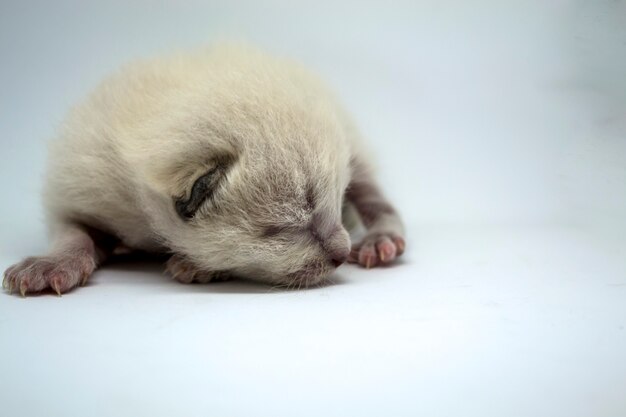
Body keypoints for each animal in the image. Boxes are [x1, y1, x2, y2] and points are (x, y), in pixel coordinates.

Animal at [2, 43, 404, 296]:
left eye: (335, 199)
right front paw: (51, 264)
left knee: (376, 197)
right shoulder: (82, 184)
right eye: (283, 229)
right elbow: (73, 233)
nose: (342, 254)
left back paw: (381, 240)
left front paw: (197, 265)